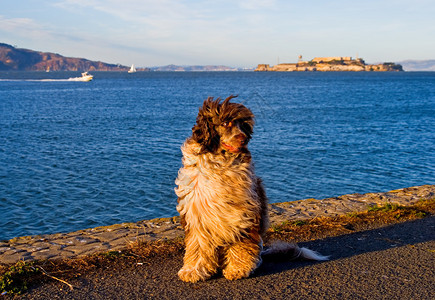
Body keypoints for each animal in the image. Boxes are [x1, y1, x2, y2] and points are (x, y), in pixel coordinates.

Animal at [175, 96, 328, 284]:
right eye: (225, 123)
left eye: (243, 125)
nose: (243, 139)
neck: (220, 161)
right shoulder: (197, 213)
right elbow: (197, 244)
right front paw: (194, 270)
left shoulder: (242, 213)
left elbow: (241, 243)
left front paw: (238, 268)